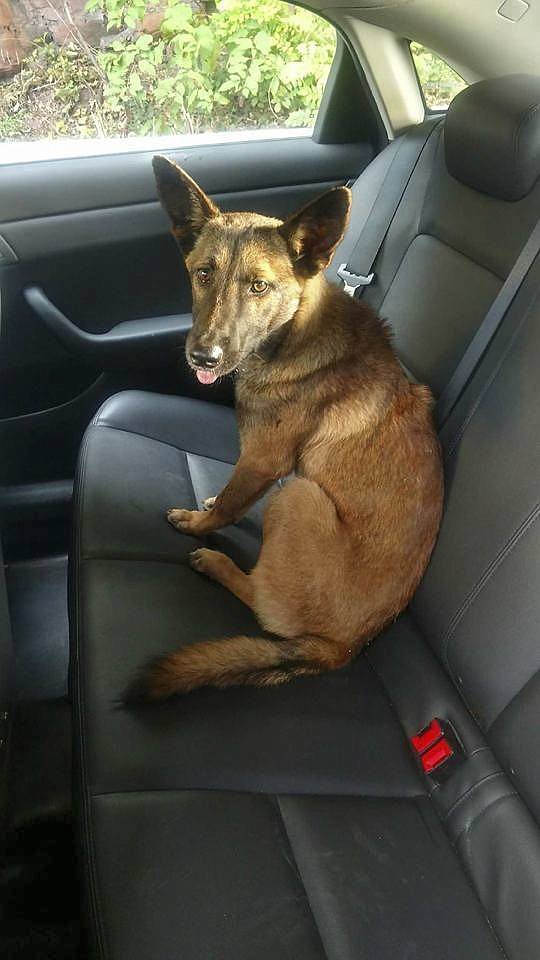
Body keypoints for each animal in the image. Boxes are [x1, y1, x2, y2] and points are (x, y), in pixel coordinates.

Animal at [126, 154, 442, 700]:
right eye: (203, 274)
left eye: (259, 286)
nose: (202, 357)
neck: (294, 333)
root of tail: (341, 648)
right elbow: (230, 494)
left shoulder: (264, 461)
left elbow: (229, 506)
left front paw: (197, 522)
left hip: (298, 495)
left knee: (260, 601)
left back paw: (218, 565)